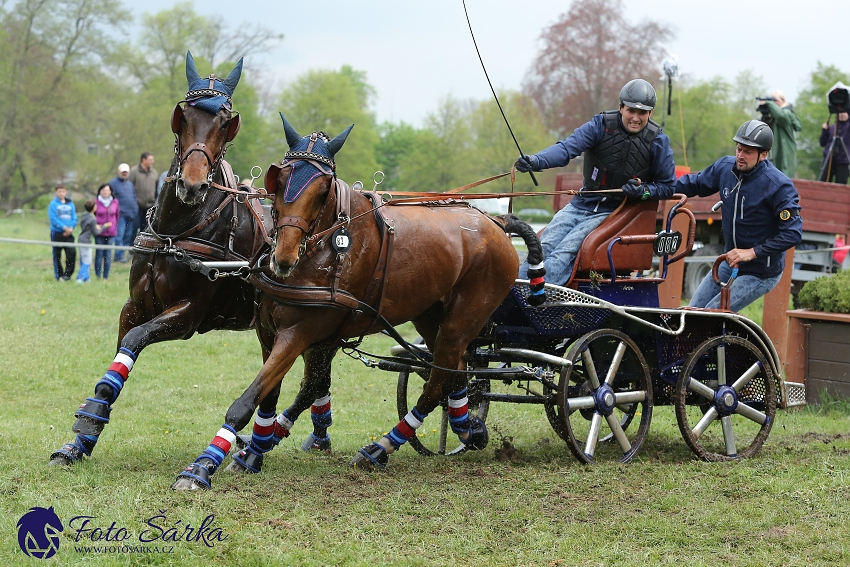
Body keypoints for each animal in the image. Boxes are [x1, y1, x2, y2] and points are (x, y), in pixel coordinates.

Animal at [172, 114, 544, 488]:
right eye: (280, 178)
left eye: (323, 189)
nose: (284, 258)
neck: (323, 248)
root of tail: (495, 221)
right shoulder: (268, 332)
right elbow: (269, 395)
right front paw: (252, 452)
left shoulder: (298, 333)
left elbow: (249, 399)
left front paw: (202, 466)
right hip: (430, 314)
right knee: (455, 370)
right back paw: (468, 428)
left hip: (464, 317)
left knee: (437, 380)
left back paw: (380, 448)